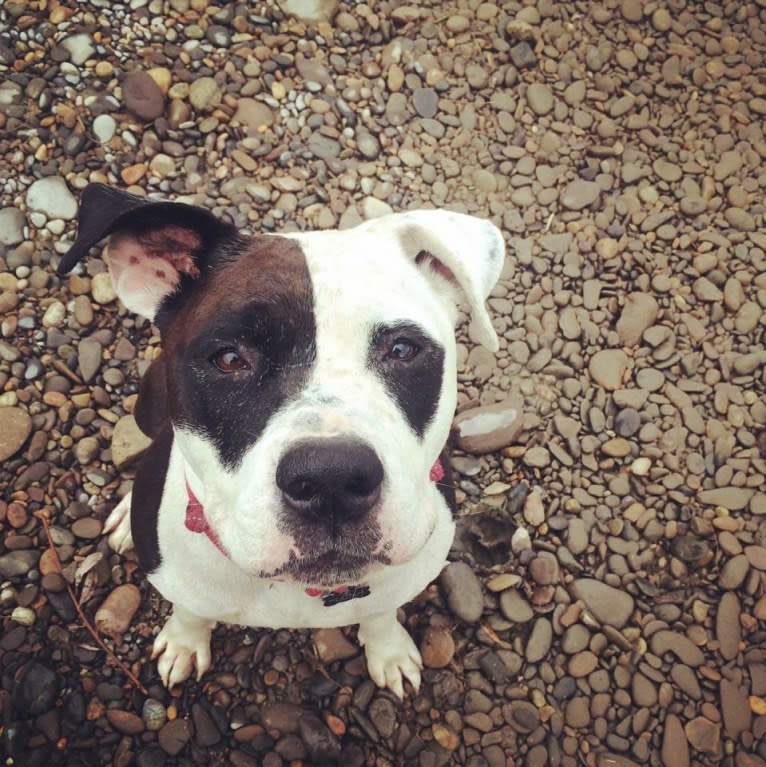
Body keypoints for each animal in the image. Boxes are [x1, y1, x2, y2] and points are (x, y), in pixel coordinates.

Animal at [58, 183, 504, 700]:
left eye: (401, 350)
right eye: (229, 358)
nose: (331, 479)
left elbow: (380, 615)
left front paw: (389, 651)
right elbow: (190, 613)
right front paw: (184, 642)